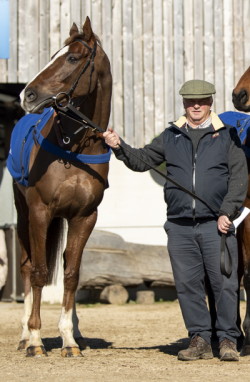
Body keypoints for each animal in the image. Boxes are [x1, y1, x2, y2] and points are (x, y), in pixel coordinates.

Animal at [9, 17, 111, 358]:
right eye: (55, 54)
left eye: (73, 58)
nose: (27, 95)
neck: (73, 150)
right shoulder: (41, 212)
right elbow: (40, 272)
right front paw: (36, 339)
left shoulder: (84, 217)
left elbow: (71, 275)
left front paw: (69, 339)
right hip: (24, 216)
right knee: (27, 268)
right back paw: (24, 336)